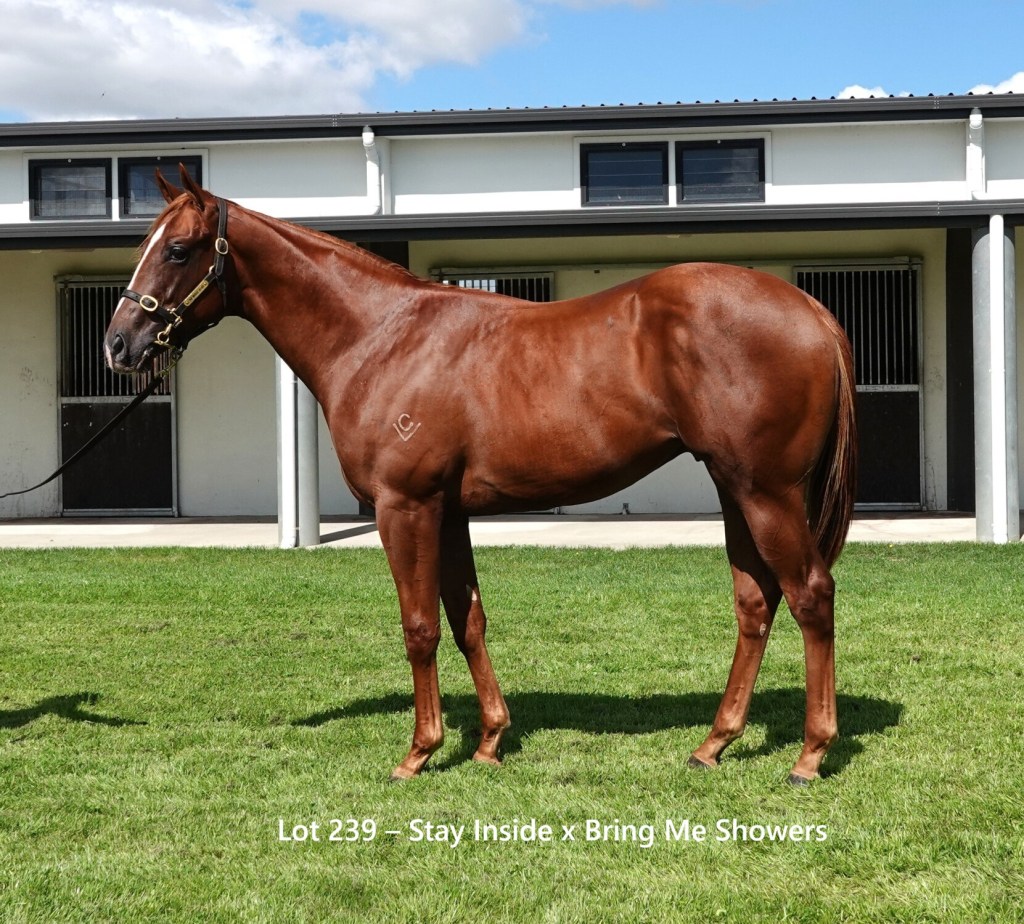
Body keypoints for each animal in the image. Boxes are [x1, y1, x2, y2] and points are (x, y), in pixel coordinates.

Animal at [105, 166, 856, 785]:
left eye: (178, 250)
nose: (119, 345)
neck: (380, 337)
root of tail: (812, 312)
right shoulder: (449, 510)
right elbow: (468, 618)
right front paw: (491, 742)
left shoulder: (405, 506)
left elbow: (419, 625)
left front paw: (419, 751)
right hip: (736, 489)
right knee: (756, 602)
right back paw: (713, 744)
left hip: (766, 492)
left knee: (811, 595)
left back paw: (809, 755)